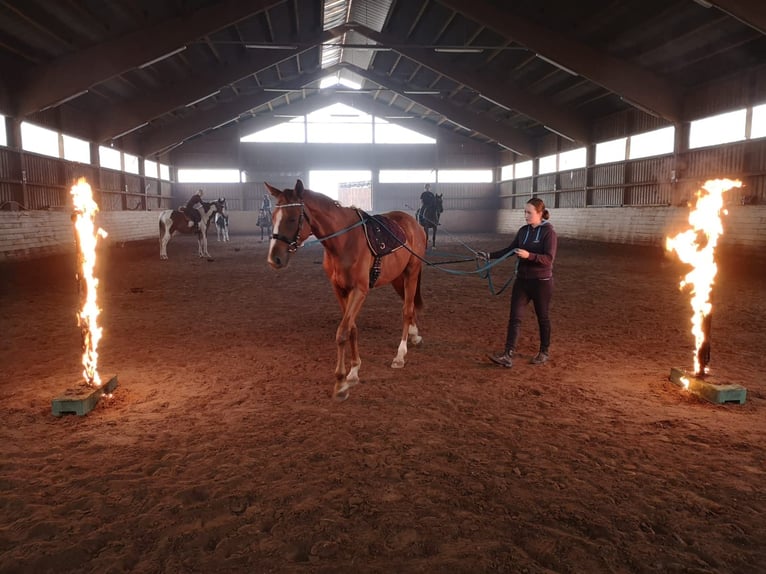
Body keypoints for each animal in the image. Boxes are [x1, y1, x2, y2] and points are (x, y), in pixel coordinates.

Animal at [268, 179, 428, 400]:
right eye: (273, 217)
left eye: (292, 218)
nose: (274, 258)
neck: (344, 242)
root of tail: (414, 224)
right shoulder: (339, 290)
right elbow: (351, 327)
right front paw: (354, 371)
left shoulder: (359, 291)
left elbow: (342, 331)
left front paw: (341, 382)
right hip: (397, 277)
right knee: (409, 306)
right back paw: (414, 335)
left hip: (411, 273)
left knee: (406, 310)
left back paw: (400, 355)